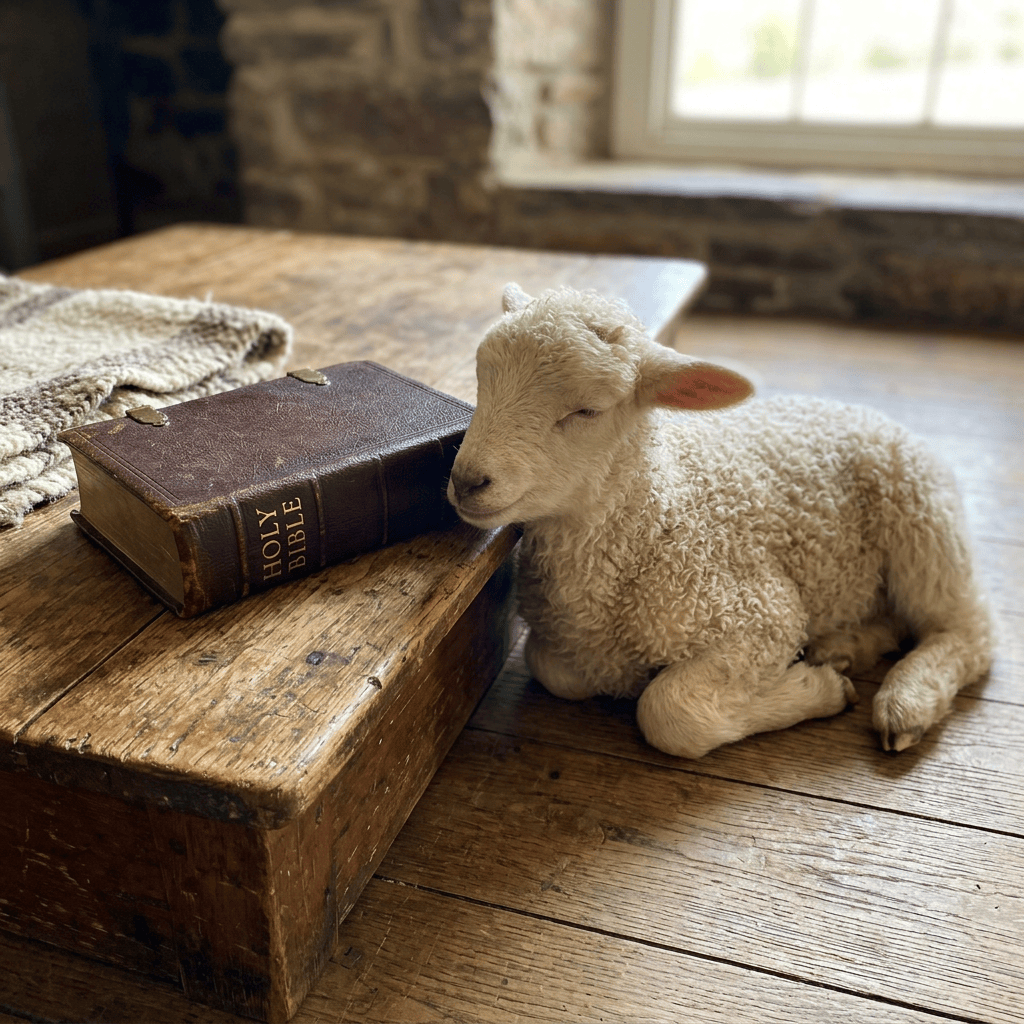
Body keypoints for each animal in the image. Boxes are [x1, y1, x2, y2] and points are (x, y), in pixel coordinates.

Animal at [447, 283, 993, 758]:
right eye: (482, 380)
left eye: (587, 411)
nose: (467, 480)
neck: (656, 522)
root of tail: (866, 412)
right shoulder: (565, 644)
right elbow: (553, 669)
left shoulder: (758, 616)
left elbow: (670, 713)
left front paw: (819, 691)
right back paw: (847, 647)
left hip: (923, 524)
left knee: (968, 632)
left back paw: (905, 703)